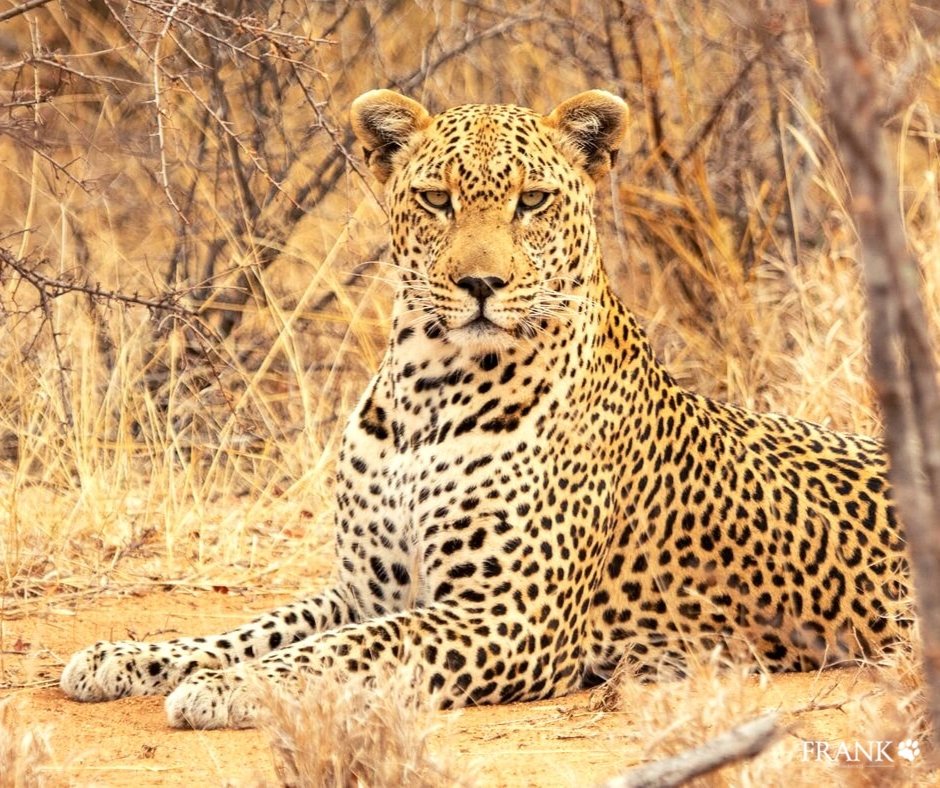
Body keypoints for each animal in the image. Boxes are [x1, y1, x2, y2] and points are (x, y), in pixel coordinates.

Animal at [60, 89, 911, 729]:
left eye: (531, 202)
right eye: (436, 200)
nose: (479, 284)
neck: (427, 390)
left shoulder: (508, 616)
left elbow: (353, 649)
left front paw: (234, 687)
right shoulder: (364, 588)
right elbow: (256, 627)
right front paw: (126, 655)